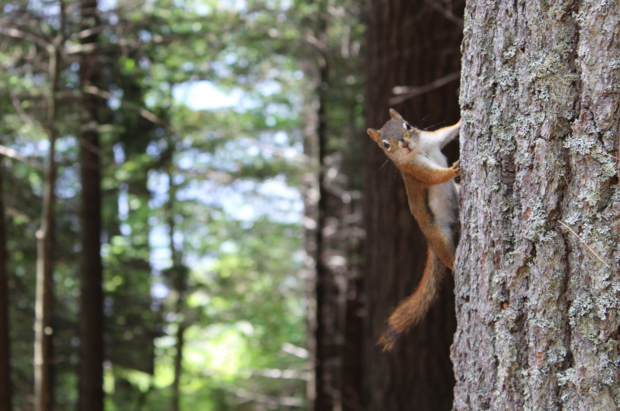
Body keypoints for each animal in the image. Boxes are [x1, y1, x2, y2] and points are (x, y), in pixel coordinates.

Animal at [366, 108, 462, 350]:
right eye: (385, 145)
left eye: (407, 125)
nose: (404, 144)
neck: (419, 149)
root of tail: (430, 242)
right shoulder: (413, 169)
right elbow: (433, 176)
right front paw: (452, 170)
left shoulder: (432, 139)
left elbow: (447, 133)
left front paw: (462, 119)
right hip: (439, 235)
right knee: (447, 256)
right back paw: (455, 266)